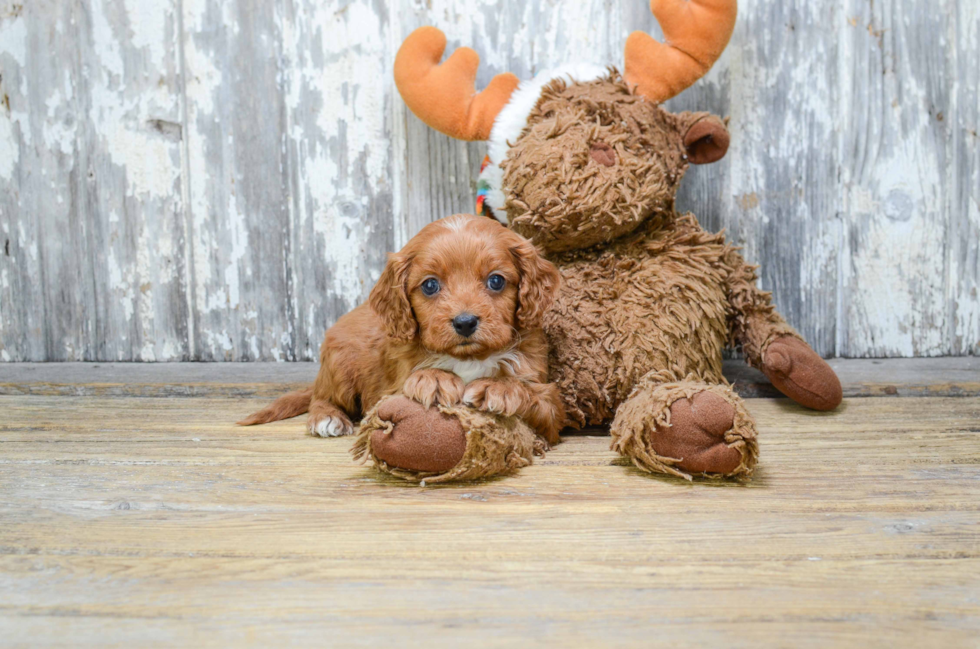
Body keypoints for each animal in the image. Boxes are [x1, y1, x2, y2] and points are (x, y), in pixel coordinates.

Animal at [239, 215, 568, 442]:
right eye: (430, 285)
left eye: (496, 280)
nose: (464, 322)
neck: (468, 359)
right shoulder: (386, 391)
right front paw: (433, 378)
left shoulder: (549, 405)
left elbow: (535, 395)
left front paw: (498, 386)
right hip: (339, 366)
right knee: (321, 397)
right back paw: (327, 417)